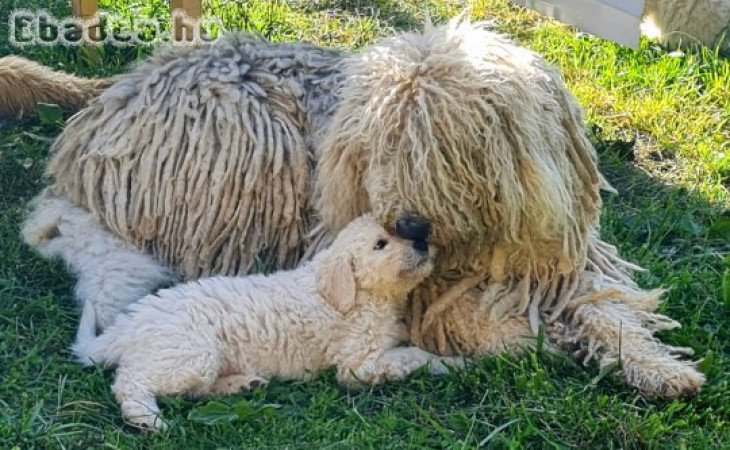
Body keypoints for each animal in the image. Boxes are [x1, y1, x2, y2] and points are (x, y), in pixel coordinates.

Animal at [74, 216, 460, 430]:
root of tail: (126, 325)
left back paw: (243, 384)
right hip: (190, 352)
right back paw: (146, 419)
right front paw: (455, 363)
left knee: (194, 391)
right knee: (130, 383)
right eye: (381, 244)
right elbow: (411, 355)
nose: (422, 241)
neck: (358, 293)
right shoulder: (357, 363)